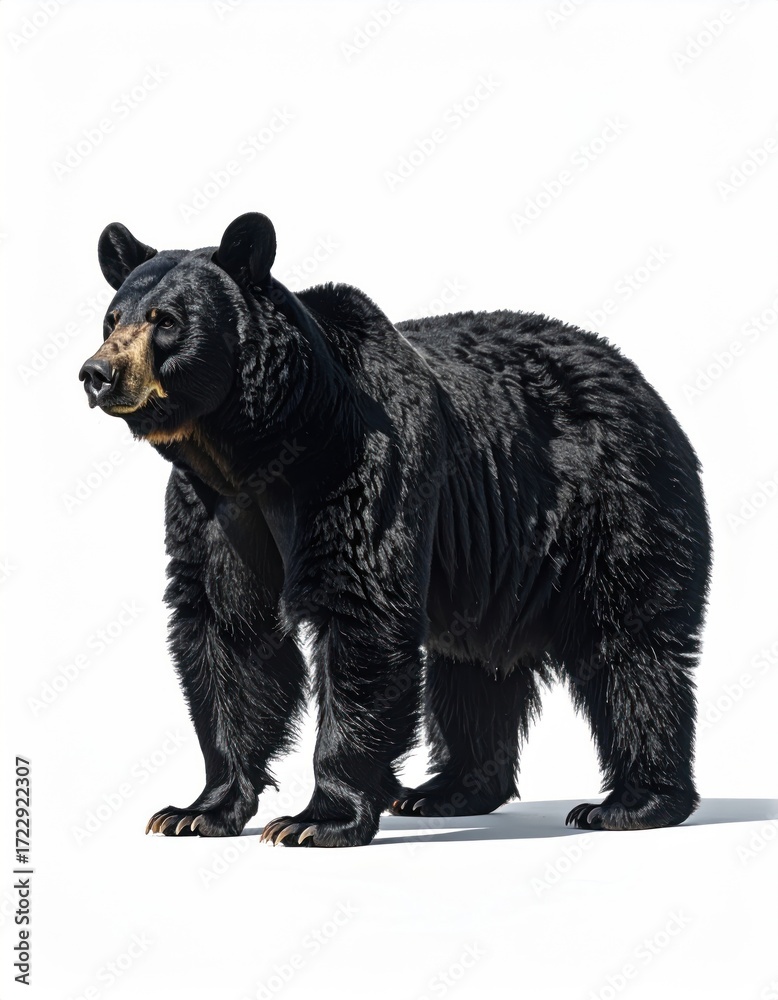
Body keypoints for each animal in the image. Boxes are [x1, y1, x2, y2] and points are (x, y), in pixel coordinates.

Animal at [79, 212, 711, 847]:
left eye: (166, 321)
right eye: (113, 318)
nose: (97, 373)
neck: (262, 447)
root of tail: (631, 372)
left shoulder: (364, 467)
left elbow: (363, 614)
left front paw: (315, 819)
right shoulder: (216, 511)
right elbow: (228, 630)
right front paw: (196, 810)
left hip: (616, 504)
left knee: (630, 645)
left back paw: (631, 802)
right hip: (491, 567)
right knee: (474, 669)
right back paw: (447, 791)